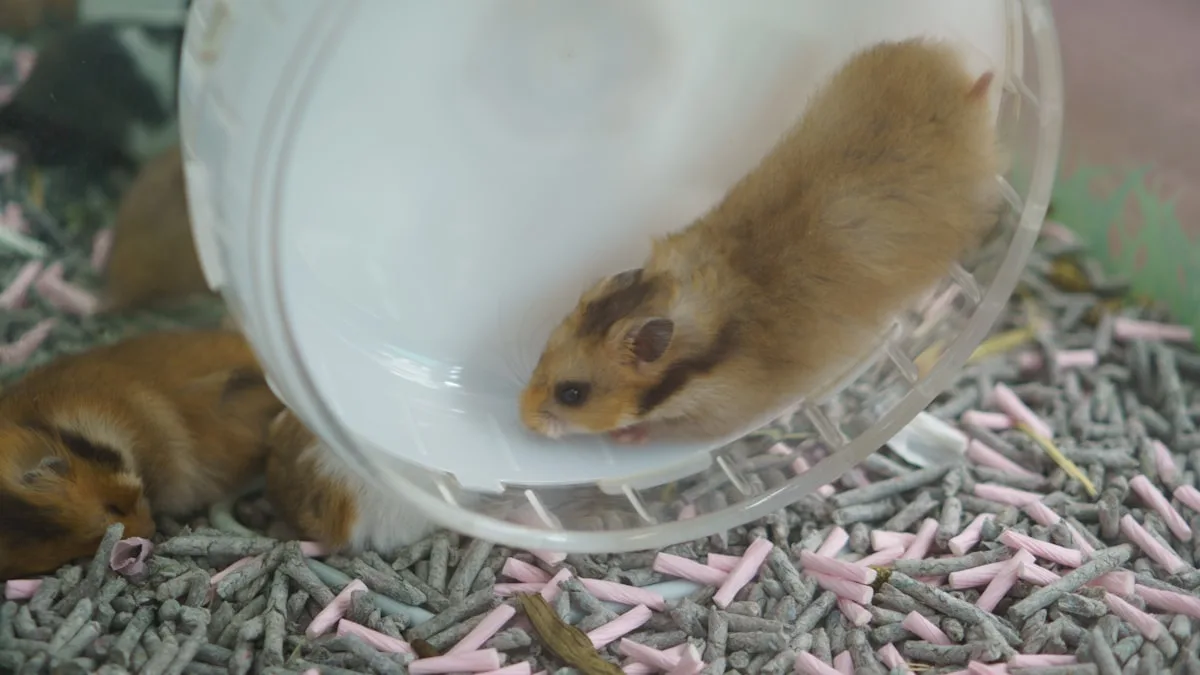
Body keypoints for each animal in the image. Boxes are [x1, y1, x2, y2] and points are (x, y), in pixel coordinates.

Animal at [520, 39, 1001, 443]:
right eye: (541, 354)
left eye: (572, 394)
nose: (522, 419)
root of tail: (962, 87)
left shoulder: (717, 412)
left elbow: (662, 429)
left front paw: (626, 436)